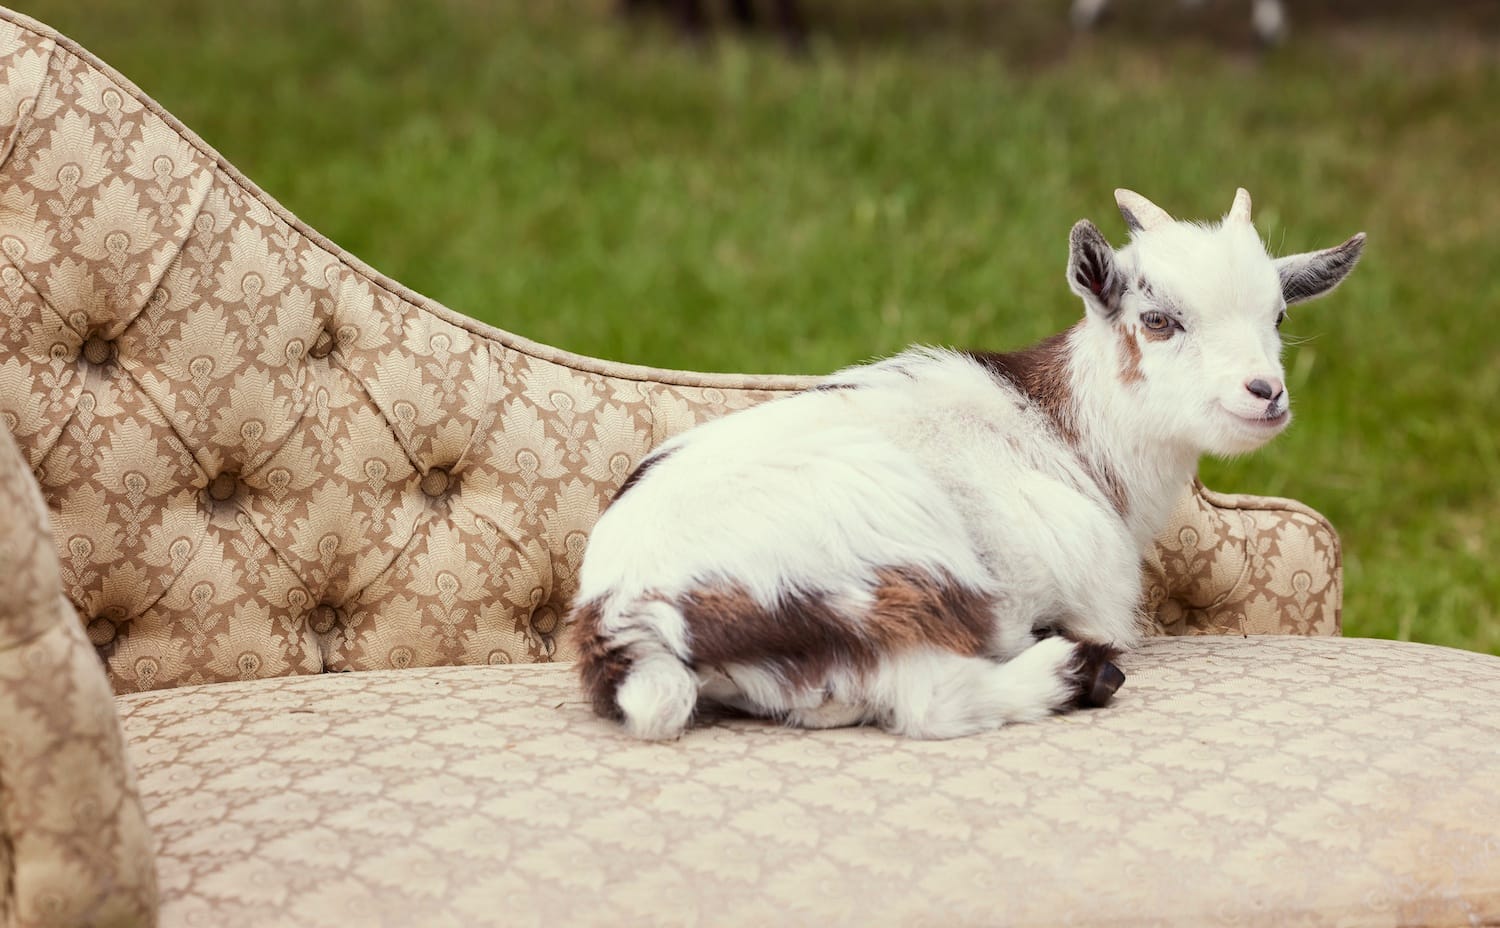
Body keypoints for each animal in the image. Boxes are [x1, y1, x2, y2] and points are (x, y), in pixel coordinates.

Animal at [571, 188, 1363, 740]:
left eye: (1279, 317)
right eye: (1158, 321)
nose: (1265, 393)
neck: (1065, 429)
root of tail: (629, 615)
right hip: (904, 561)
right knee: (933, 701)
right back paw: (1077, 674)